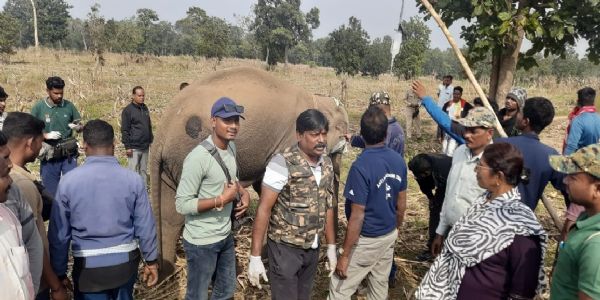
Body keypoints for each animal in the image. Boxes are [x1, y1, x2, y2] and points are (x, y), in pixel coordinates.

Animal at [147, 65, 350, 276]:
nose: (330, 258)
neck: (317, 99)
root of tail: (162, 132)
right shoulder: (288, 142)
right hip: (187, 155)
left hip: (172, 163)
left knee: (170, 216)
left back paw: (167, 273)